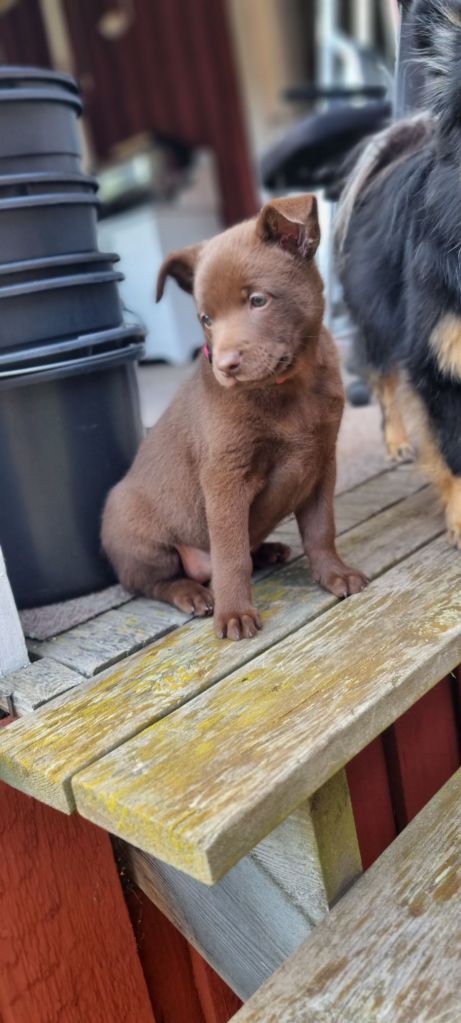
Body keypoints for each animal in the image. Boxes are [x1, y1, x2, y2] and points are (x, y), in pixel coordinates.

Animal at [101, 193, 367, 641]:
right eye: (206, 319)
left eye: (258, 300)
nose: (226, 365)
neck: (287, 387)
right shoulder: (225, 477)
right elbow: (230, 555)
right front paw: (235, 612)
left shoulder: (321, 462)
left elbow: (321, 529)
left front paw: (335, 574)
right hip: (142, 539)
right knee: (152, 582)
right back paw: (193, 593)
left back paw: (269, 550)